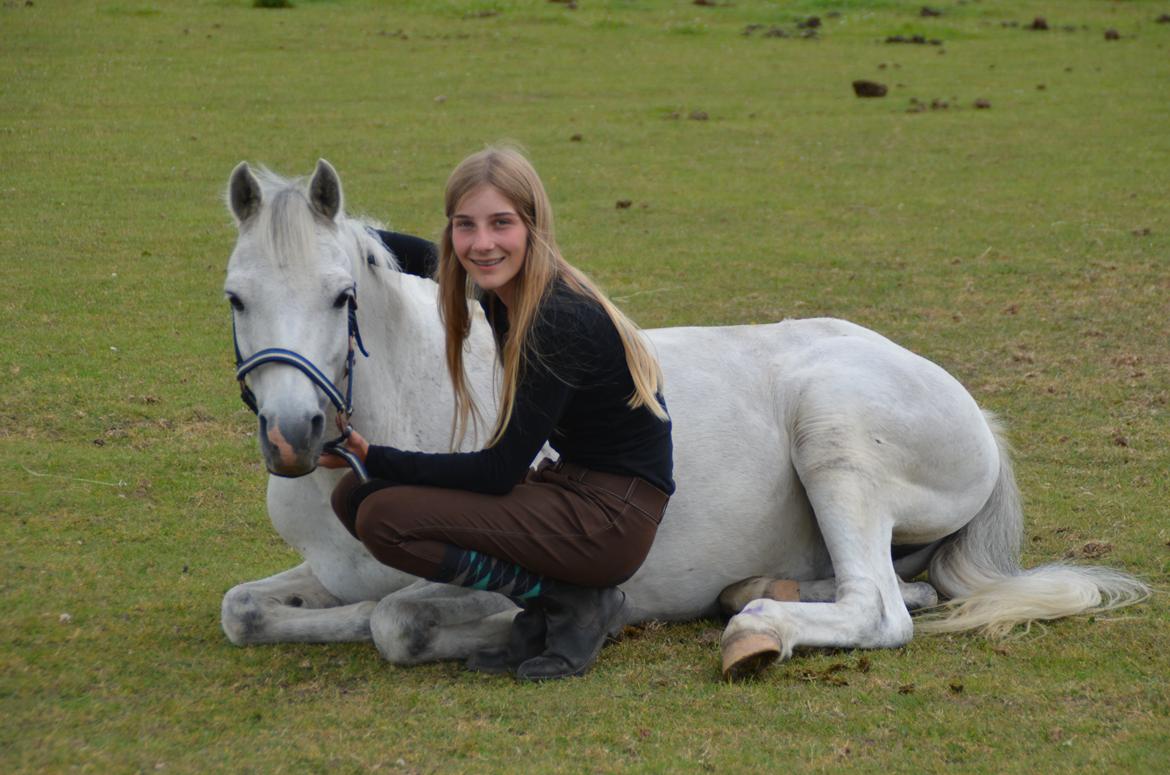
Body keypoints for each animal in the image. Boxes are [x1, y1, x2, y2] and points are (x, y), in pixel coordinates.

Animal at [217, 159, 1141, 679]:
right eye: (235, 297)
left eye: (342, 295)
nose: (294, 435)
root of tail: (973, 410)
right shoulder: (324, 569)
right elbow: (245, 608)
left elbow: (395, 619)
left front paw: (558, 620)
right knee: (893, 586)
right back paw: (755, 591)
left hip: (833, 433)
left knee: (881, 607)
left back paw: (758, 626)